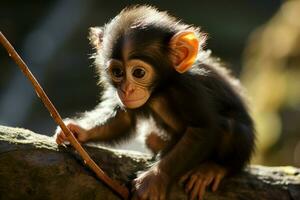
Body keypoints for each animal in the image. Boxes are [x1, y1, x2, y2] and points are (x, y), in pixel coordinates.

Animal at [55, 5, 254, 200]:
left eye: (138, 73)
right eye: (118, 72)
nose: (127, 90)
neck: (161, 89)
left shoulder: (189, 88)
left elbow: (202, 129)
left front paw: (154, 179)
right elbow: (122, 119)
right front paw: (78, 130)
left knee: (230, 129)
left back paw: (212, 169)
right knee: (151, 137)